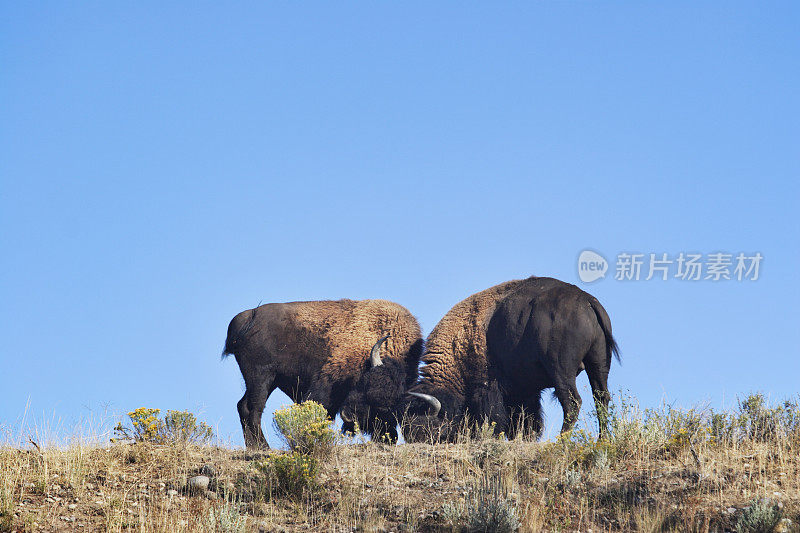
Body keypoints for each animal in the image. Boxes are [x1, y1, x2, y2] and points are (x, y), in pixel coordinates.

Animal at [404, 274, 620, 440]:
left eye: (433, 428)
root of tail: (587, 301)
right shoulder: (525, 392)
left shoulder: (488, 388)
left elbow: (495, 417)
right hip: (598, 365)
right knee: (601, 398)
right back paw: (603, 439)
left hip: (561, 370)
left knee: (572, 402)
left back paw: (561, 441)